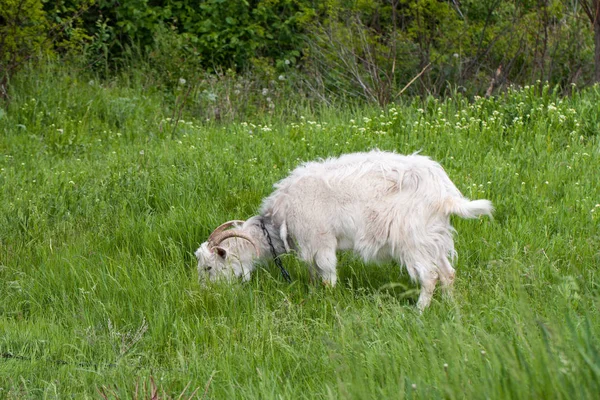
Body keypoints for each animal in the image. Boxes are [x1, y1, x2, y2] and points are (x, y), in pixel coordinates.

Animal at [197, 150, 492, 310]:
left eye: (209, 267)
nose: (206, 295)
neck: (278, 219)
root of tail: (445, 192)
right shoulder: (311, 247)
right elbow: (314, 275)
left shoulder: (321, 241)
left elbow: (328, 276)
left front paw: (327, 302)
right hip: (434, 236)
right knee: (448, 273)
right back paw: (452, 307)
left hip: (413, 238)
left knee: (430, 276)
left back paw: (419, 312)